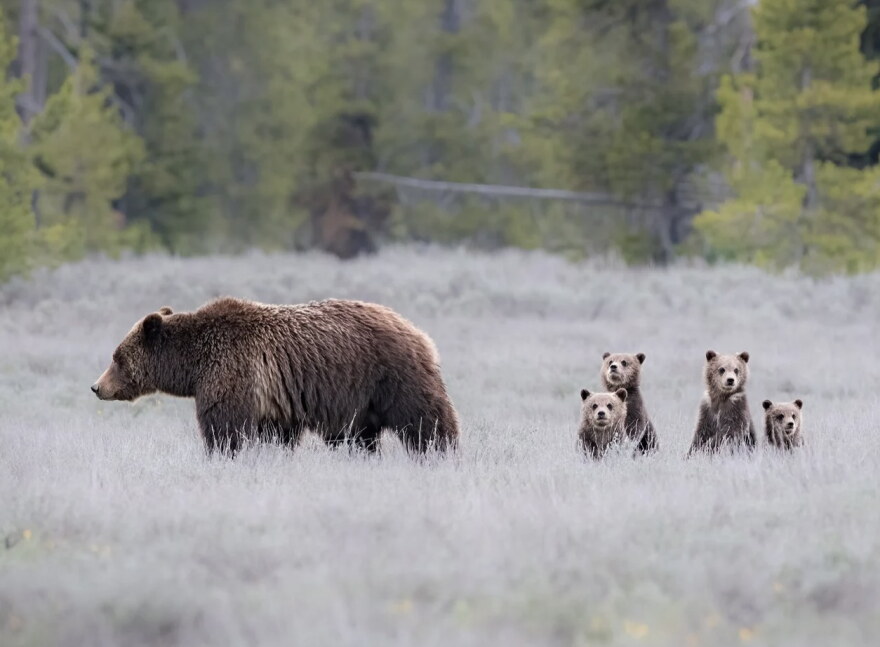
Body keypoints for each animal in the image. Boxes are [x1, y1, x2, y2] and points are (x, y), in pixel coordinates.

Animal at [91, 297, 459, 456]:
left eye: (116, 357)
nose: (97, 386)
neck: (193, 364)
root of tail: (416, 330)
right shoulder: (275, 400)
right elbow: (275, 434)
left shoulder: (232, 371)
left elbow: (225, 427)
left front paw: (223, 454)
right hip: (361, 400)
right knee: (360, 436)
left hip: (390, 374)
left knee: (424, 418)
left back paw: (440, 451)